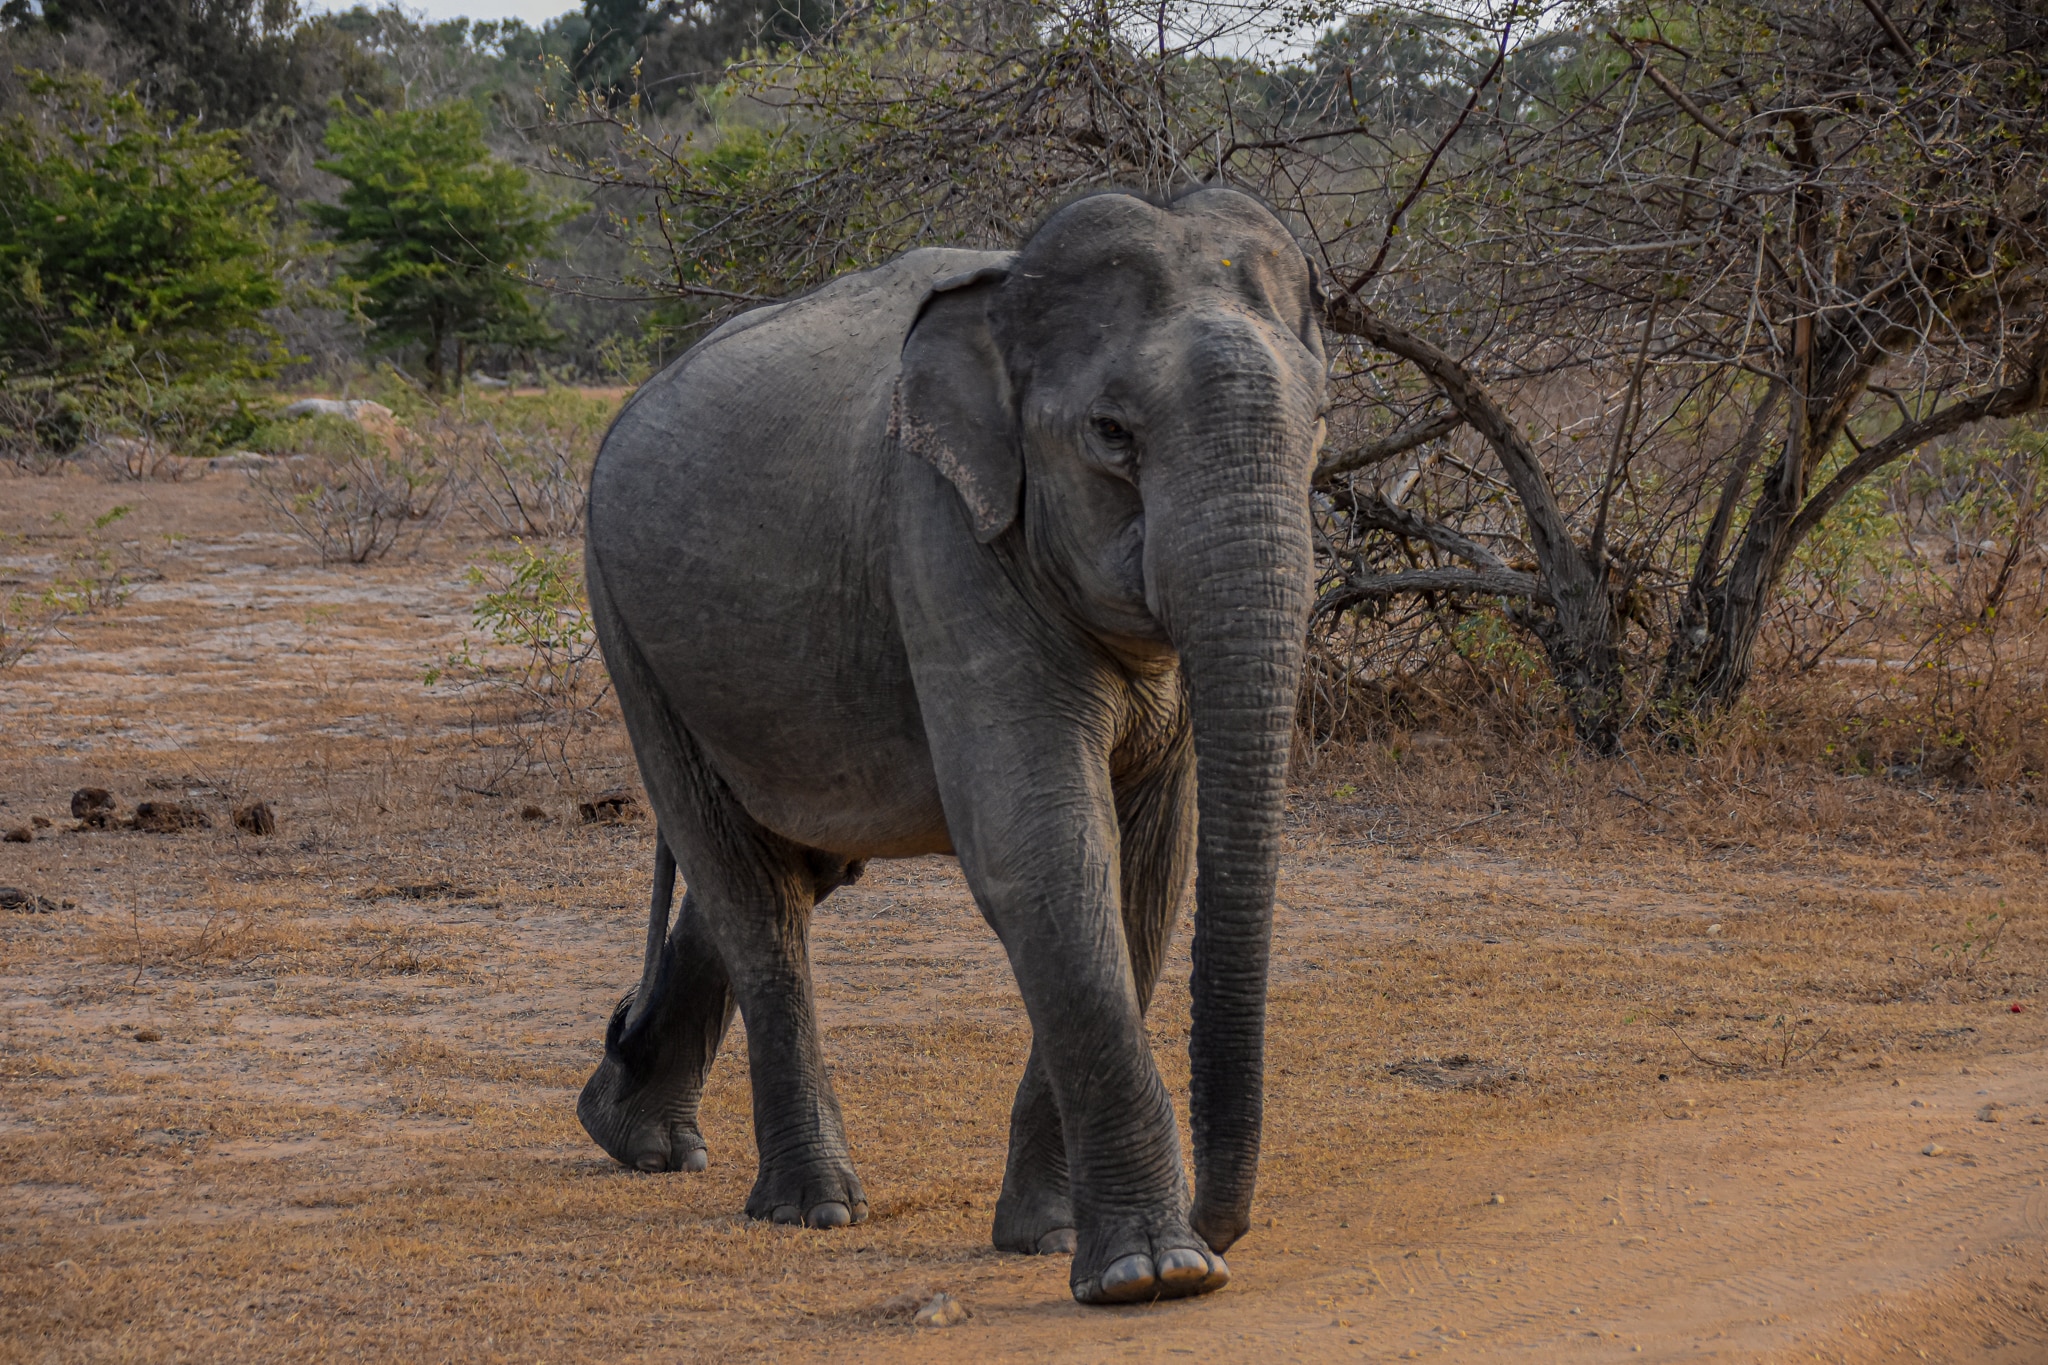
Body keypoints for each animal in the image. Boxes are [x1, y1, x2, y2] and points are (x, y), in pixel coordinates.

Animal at [576, 186, 1328, 1306]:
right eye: (1110, 432)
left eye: (1319, 425)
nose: (1223, 1224)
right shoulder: (943, 539)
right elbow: (1044, 853)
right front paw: (1154, 1275)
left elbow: (1143, 872)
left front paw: (1052, 1239)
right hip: (629, 630)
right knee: (747, 888)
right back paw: (810, 1207)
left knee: (794, 863)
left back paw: (632, 1135)